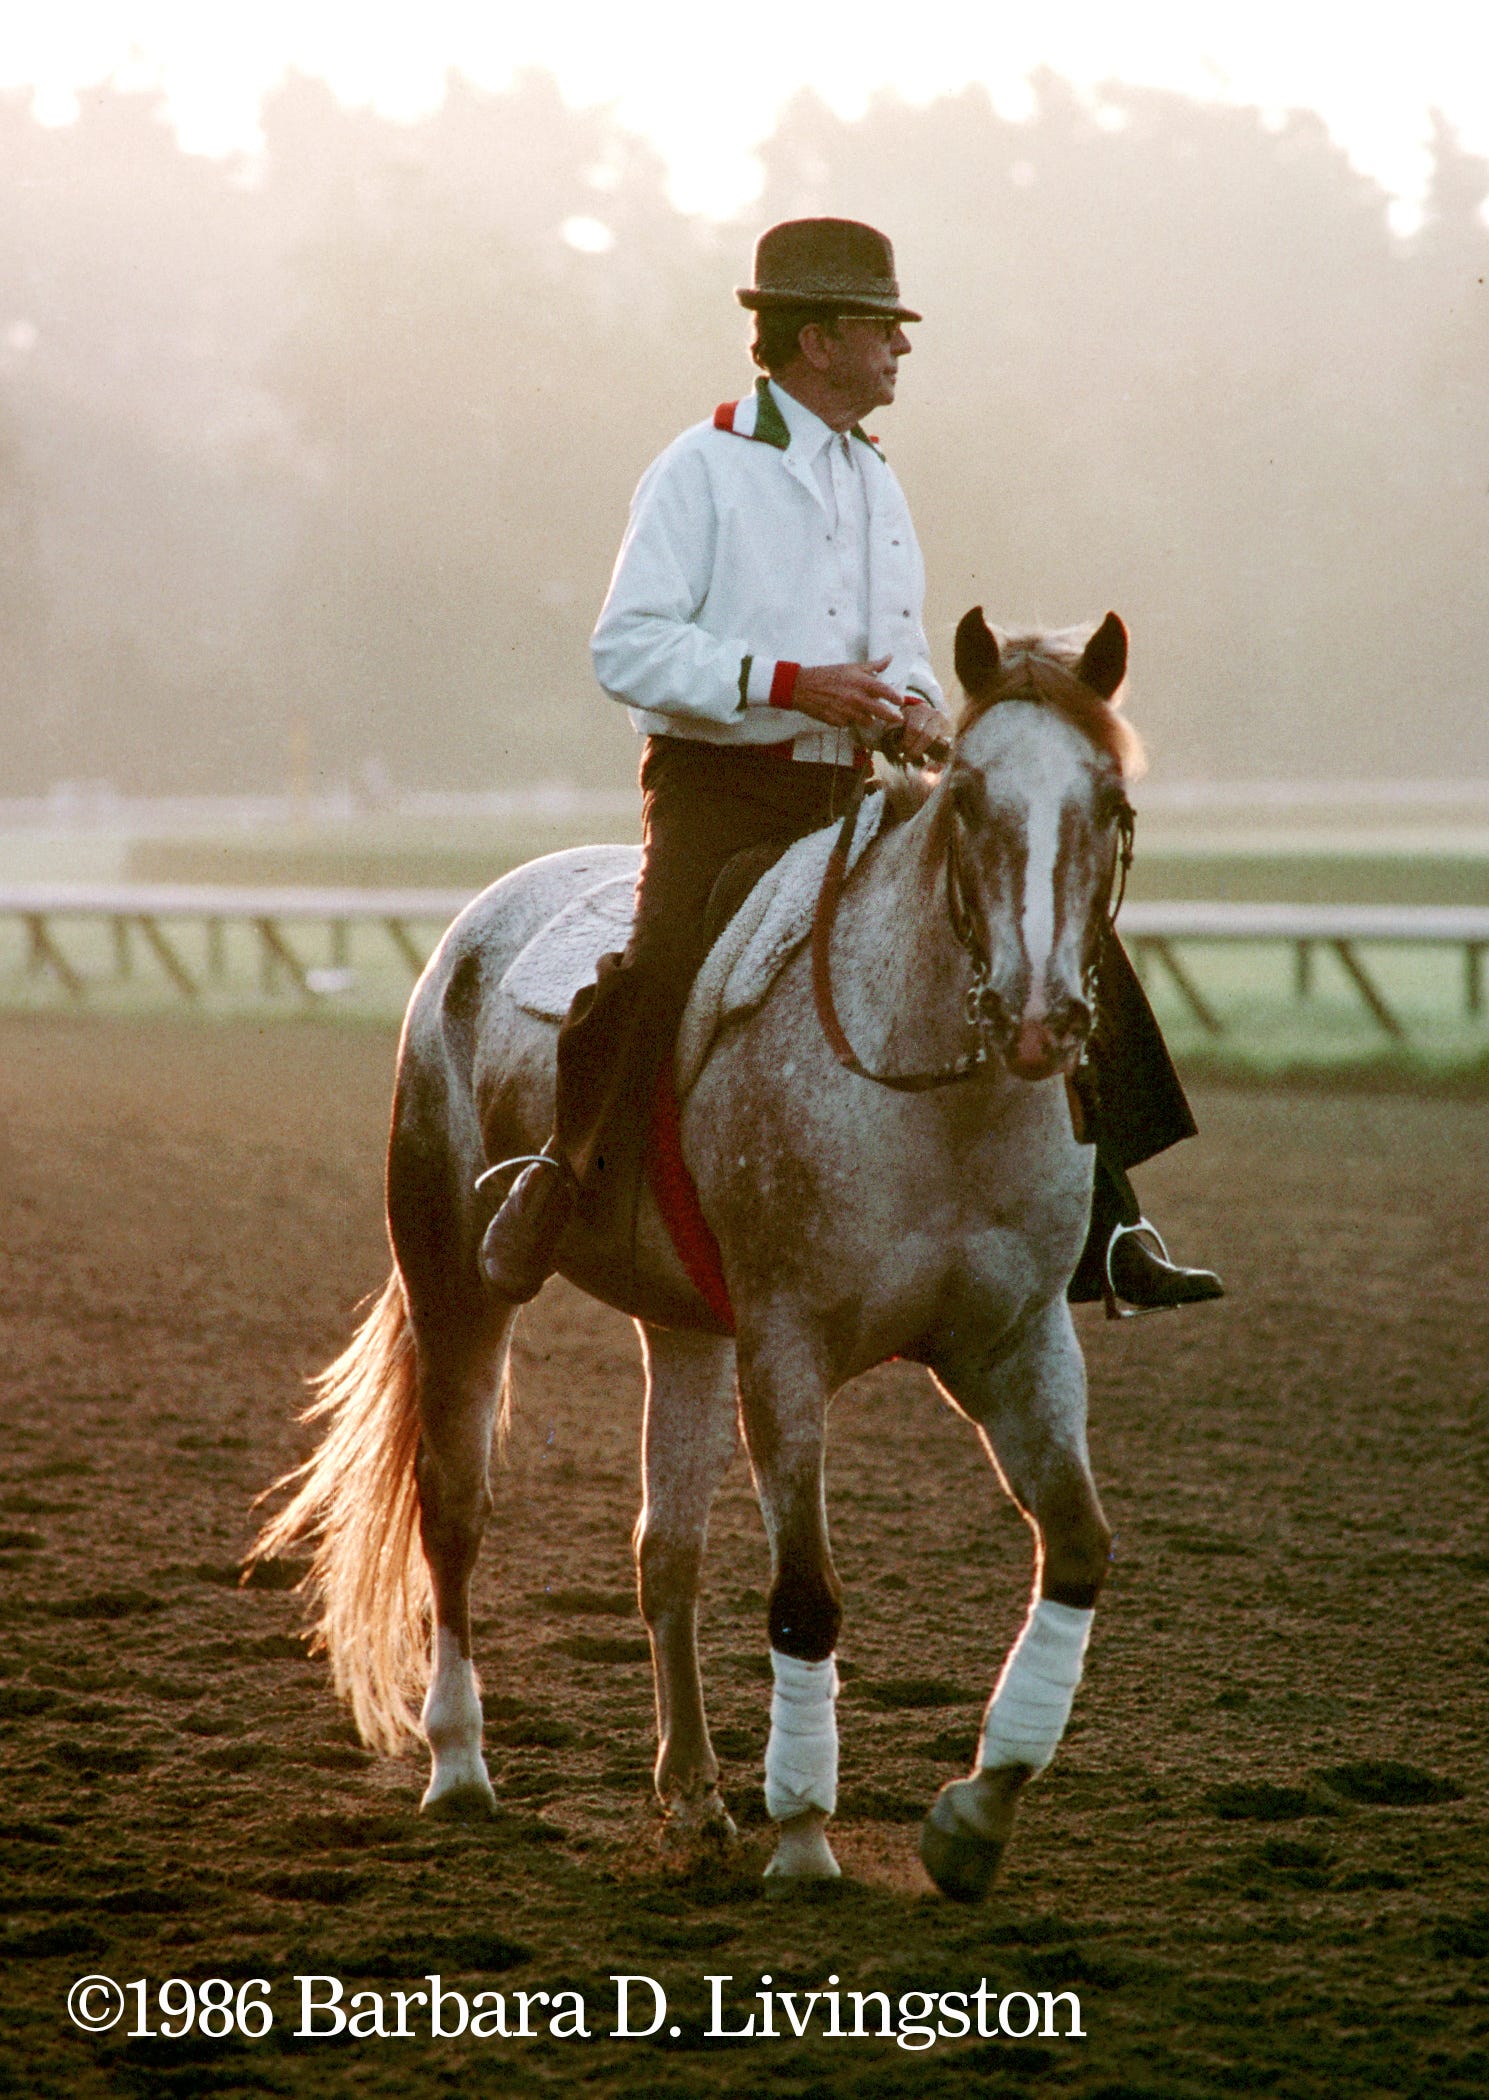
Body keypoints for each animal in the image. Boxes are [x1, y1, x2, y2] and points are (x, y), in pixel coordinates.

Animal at [251, 607, 1144, 1902]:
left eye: (1110, 800)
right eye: (970, 797)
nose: (1038, 1017)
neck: (935, 1101)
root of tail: (474, 926)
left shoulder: (1017, 1345)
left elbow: (1074, 1549)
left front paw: (974, 1815)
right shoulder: (785, 1348)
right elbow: (806, 1597)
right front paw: (808, 1835)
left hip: (681, 1330)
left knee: (662, 1553)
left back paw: (695, 1793)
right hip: (455, 1284)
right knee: (453, 1509)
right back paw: (460, 1765)